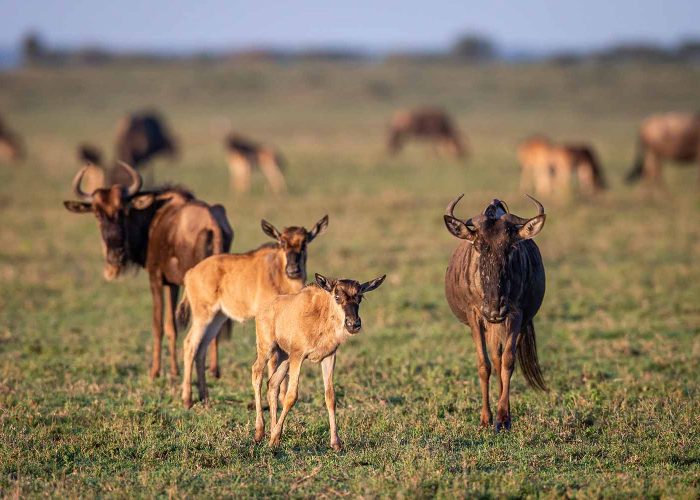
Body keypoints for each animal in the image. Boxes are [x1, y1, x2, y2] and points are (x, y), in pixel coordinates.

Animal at [175, 215, 328, 406]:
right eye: (282, 242)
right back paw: (187, 399)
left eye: (305, 242)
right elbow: (274, 361)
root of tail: (191, 273)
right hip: (203, 316)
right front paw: (278, 398)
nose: (293, 270)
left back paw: (205, 398)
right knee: (190, 344)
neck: (279, 274)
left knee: (201, 348)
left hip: (217, 318)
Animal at [253, 272, 386, 452]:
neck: (321, 316)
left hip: (284, 356)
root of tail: (263, 309)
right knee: (257, 373)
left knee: (272, 384)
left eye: (360, 297)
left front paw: (336, 443)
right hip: (267, 348)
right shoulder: (298, 356)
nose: (353, 324)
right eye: (337, 296)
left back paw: (273, 431)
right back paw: (260, 433)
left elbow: (330, 397)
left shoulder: (328, 357)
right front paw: (273, 440)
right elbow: (291, 396)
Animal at [446, 194, 548, 430]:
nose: (494, 309)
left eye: (509, 248)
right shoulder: (475, 315)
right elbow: (484, 365)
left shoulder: (516, 314)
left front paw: (503, 418)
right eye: (478, 246)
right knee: (494, 358)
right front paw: (485, 419)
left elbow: (508, 362)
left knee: (502, 360)